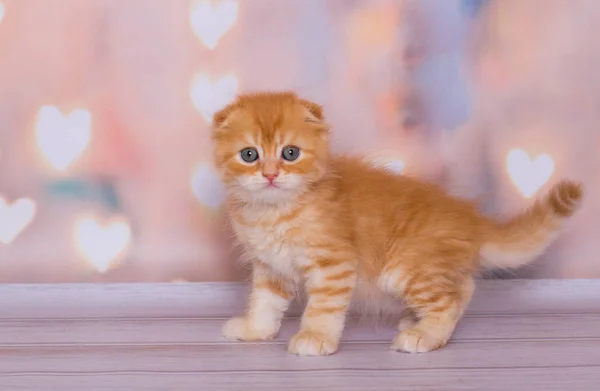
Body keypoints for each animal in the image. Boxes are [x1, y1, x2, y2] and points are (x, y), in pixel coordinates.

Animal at [210, 91, 580, 356]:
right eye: (249, 155)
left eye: (290, 153)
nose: (270, 175)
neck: (273, 211)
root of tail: (470, 217)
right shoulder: (269, 267)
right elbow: (264, 302)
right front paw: (256, 330)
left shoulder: (334, 264)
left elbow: (323, 307)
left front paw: (314, 337)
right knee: (465, 286)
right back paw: (416, 321)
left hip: (406, 268)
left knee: (450, 298)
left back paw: (425, 335)